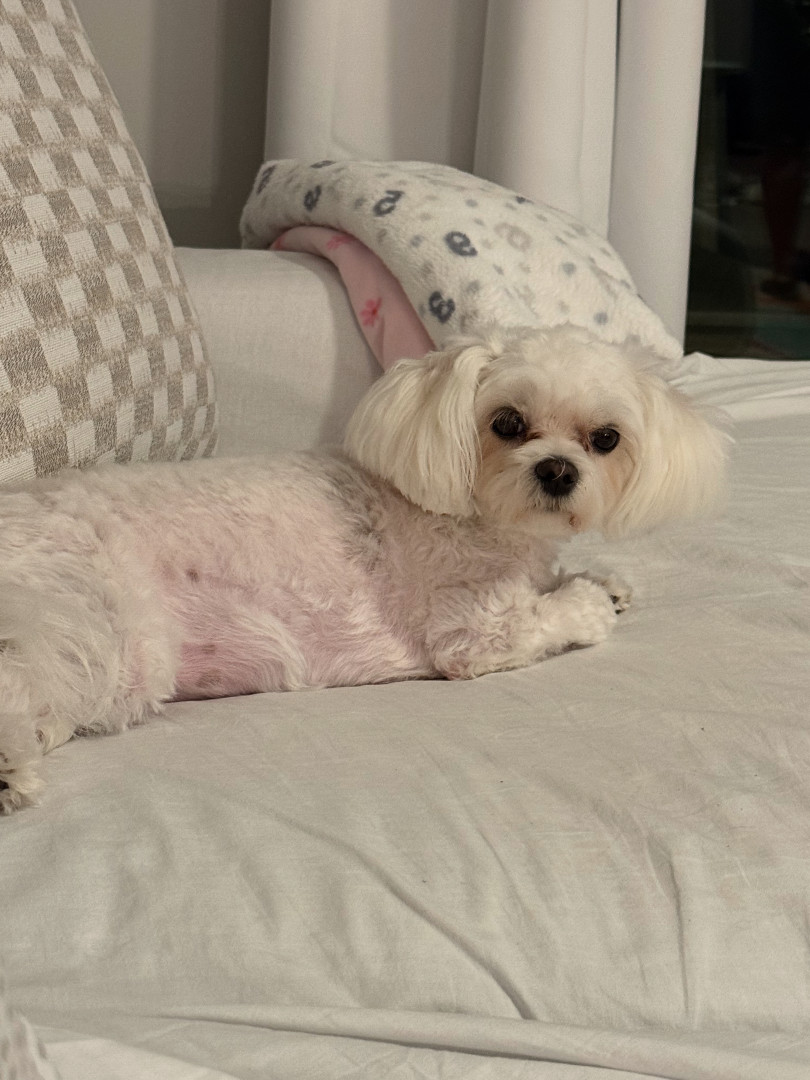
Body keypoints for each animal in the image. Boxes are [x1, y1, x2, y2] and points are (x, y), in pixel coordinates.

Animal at [0, 326, 726, 812]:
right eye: (507, 422)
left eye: (605, 439)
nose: (557, 471)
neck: (474, 516)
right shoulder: (471, 632)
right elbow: (548, 618)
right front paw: (589, 601)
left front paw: (603, 581)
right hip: (99, 626)